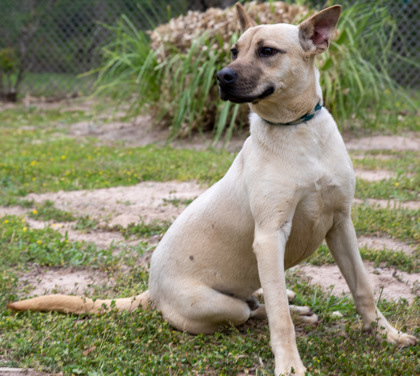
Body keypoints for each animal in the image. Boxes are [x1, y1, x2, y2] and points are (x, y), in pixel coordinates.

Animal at [7, 3, 416, 376]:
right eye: (234, 50)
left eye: (267, 51)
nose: (221, 76)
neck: (298, 132)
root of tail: (152, 292)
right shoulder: (270, 237)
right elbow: (278, 318)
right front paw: (289, 364)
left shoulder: (341, 224)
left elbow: (363, 287)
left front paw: (387, 334)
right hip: (222, 305)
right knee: (254, 309)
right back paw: (292, 311)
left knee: (263, 298)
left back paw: (294, 302)